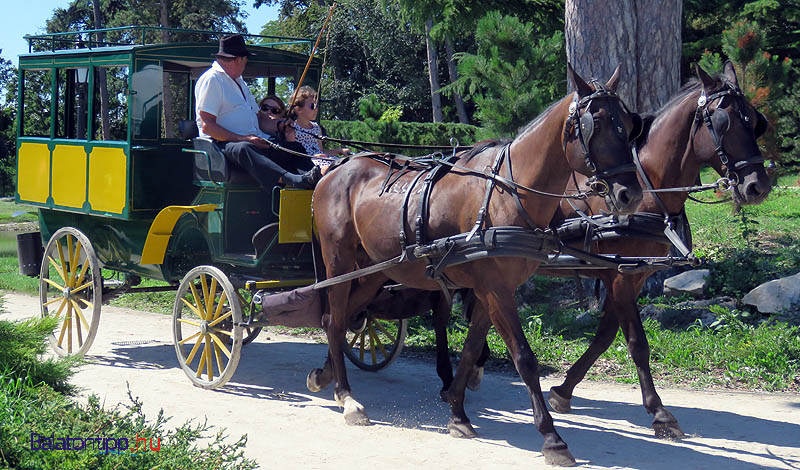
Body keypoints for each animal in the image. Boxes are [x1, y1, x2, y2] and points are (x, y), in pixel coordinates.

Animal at [310, 65, 640, 466]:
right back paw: (346, 397)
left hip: (375, 269)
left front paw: (457, 412)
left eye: (628, 122)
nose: (630, 194)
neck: (507, 193)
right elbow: (523, 358)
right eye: (597, 123)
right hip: (339, 261)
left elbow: (470, 349)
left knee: (344, 318)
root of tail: (335, 167)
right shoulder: (495, 290)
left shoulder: (489, 290)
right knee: (333, 319)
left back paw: (326, 375)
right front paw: (552, 438)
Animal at [440, 61, 772, 440]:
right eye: (722, 122)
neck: (648, 186)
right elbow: (636, 343)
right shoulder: (619, 276)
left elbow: (605, 336)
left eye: (754, 119)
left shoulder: (631, 273)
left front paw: (563, 390)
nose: (758, 186)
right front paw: (659, 412)